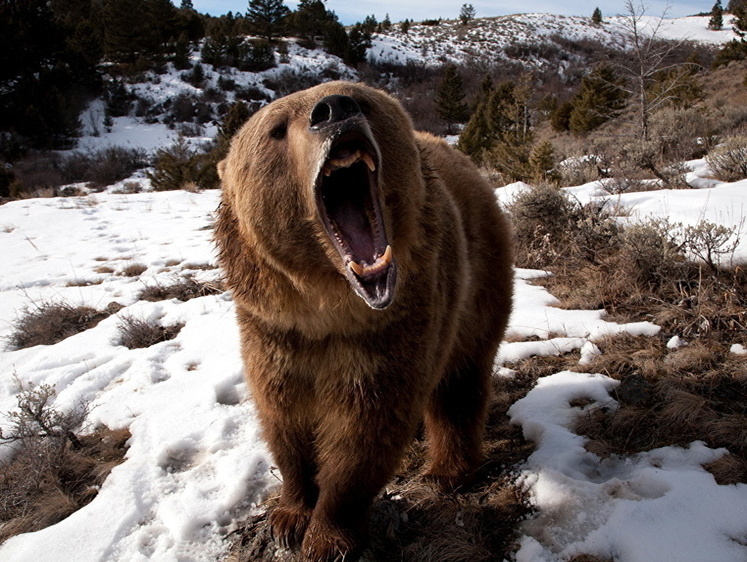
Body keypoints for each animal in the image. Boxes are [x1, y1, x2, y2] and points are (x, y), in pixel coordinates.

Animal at [213, 80, 512, 560]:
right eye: (276, 128)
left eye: (362, 99)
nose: (334, 109)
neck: (327, 308)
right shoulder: (273, 331)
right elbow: (284, 419)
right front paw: (289, 516)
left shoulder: (388, 331)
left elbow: (364, 431)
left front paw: (327, 536)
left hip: (478, 277)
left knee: (460, 379)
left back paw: (447, 471)